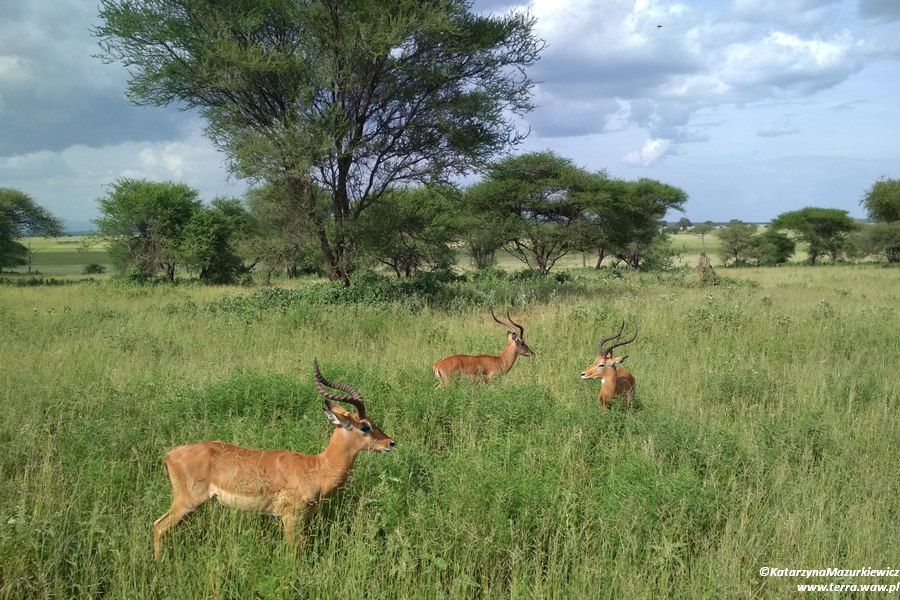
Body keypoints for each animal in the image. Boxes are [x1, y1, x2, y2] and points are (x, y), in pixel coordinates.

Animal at [151, 360, 394, 564]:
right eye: (365, 426)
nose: (391, 442)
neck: (316, 467)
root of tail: (170, 454)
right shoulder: (290, 517)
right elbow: (294, 552)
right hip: (187, 502)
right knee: (158, 526)